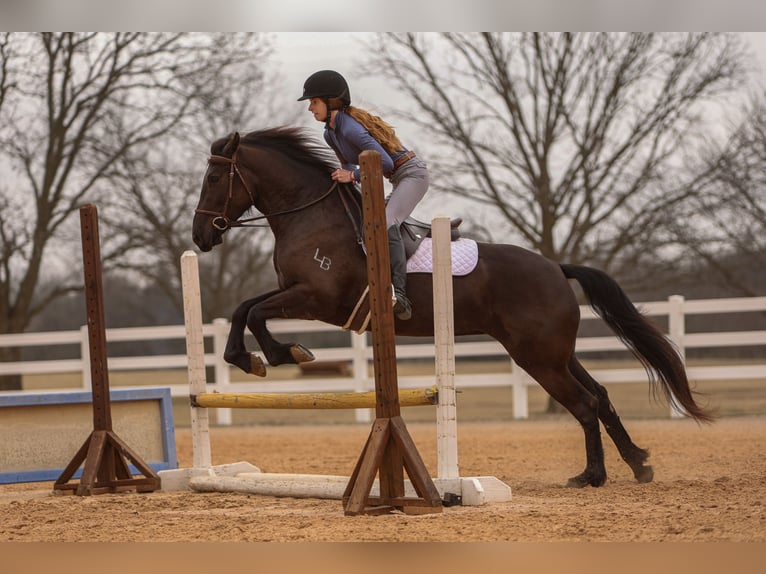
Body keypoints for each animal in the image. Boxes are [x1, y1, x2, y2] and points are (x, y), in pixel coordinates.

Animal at [192, 128, 712, 488]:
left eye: (214, 177)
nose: (200, 237)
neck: (310, 214)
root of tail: (555, 267)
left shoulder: (317, 299)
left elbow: (254, 313)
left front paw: (278, 355)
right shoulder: (295, 292)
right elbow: (244, 309)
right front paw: (248, 358)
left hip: (539, 357)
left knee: (584, 404)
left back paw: (594, 476)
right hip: (555, 353)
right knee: (599, 396)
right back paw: (636, 464)